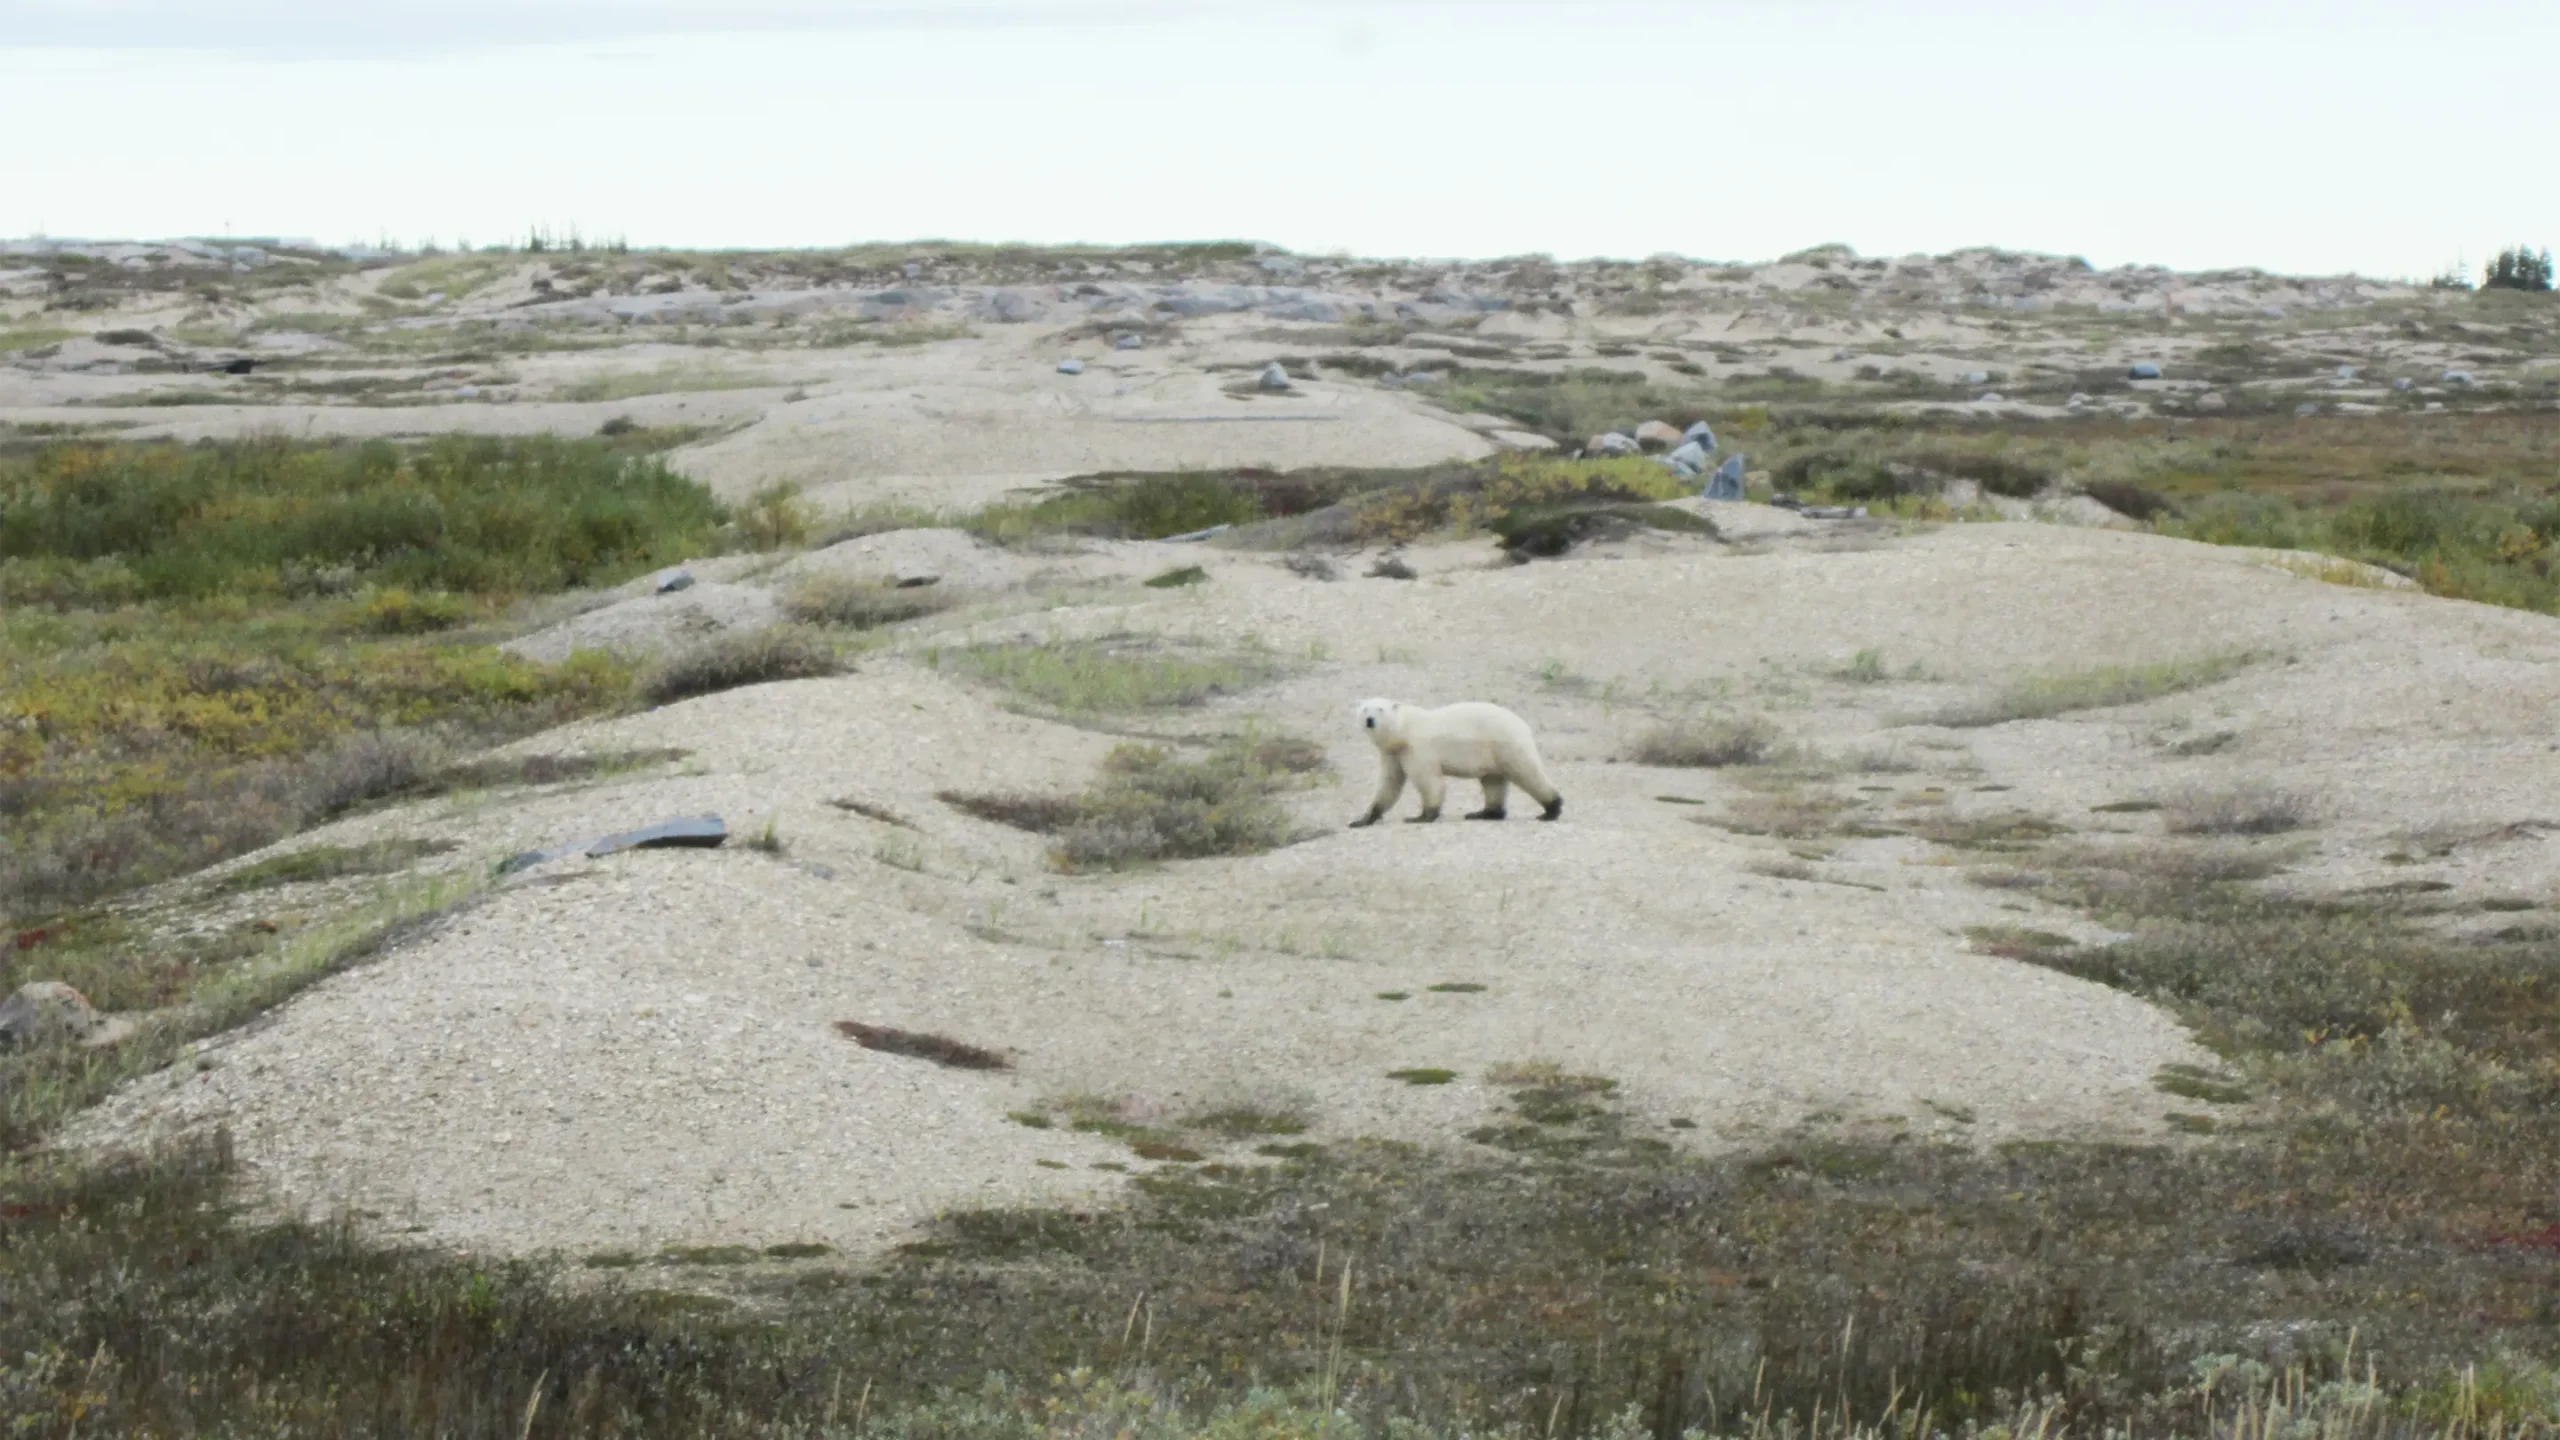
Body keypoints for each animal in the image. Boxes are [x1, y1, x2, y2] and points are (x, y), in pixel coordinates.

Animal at [1349, 697, 1564, 826]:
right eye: (1365, 709)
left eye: (1380, 709)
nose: (1370, 720)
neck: (1403, 731)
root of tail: (1522, 723)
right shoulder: (1392, 753)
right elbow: (1389, 784)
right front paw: (1362, 820)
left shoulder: (1417, 747)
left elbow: (1428, 781)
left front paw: (1420, 817)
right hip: (1492, 752)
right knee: (1493, 781)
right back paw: (1482, 813)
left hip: (1505, 743)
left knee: (1527, 772)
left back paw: (1550, 810)